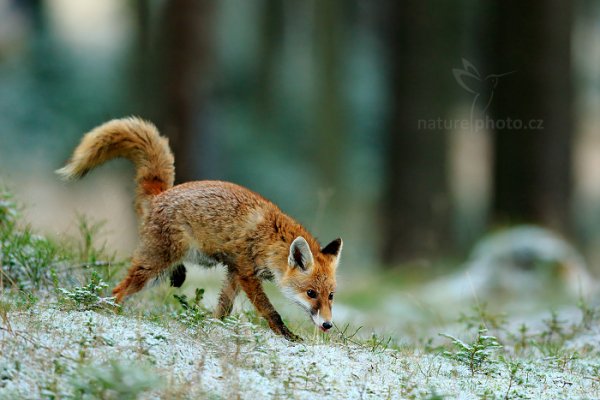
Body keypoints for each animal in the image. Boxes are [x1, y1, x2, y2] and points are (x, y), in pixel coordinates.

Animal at [59, 116, 346, 340]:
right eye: (310, 293)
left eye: (331, 295)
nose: (327, 325)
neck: (269, 238)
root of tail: (161, 194)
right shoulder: (246, 273)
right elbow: (270, 311)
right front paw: (288, 337)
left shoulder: (234, 273)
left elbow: (223, 309)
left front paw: (214, 328)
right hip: (153, 267)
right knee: (118, 291)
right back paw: (113, 319)